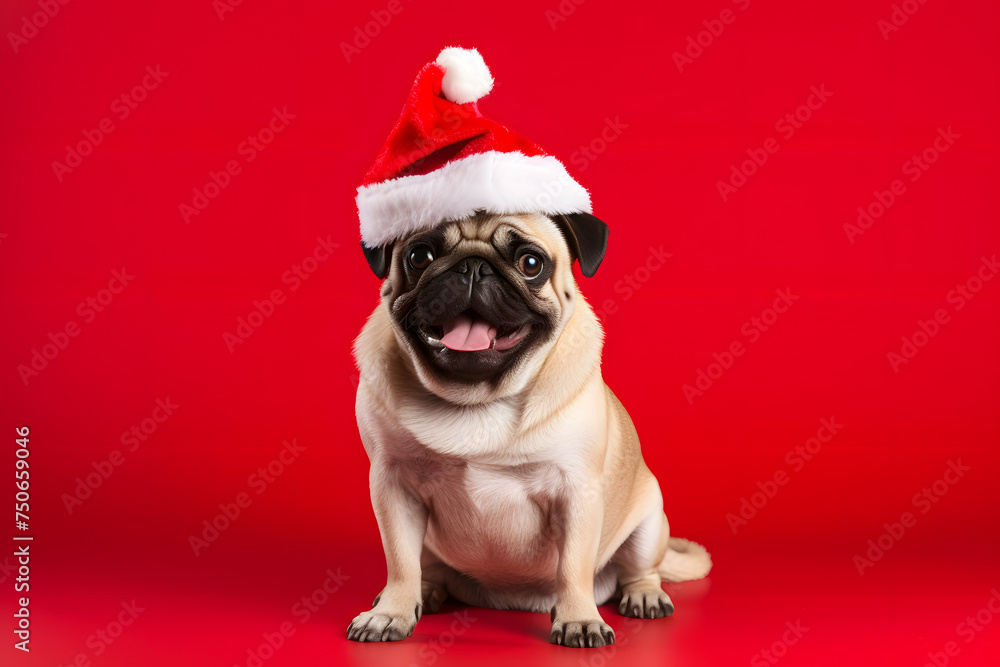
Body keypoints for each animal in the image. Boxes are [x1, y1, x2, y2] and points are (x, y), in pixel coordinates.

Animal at [352, 210, 712, 648]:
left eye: (531, 264)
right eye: (419, 256)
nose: (473, 266)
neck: (477, 399)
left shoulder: (577, 493)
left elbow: (573, 566)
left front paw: (579, 619)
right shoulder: (393, 487)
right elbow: (401, 562)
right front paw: (391, 613)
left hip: (648, 524)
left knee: (640, 570)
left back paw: (645, 595)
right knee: (427, 567)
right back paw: (426, 590)